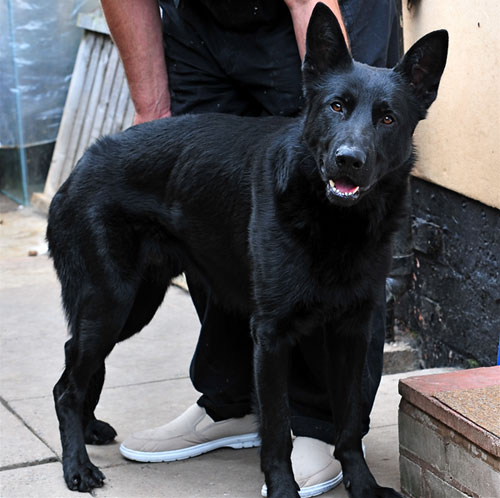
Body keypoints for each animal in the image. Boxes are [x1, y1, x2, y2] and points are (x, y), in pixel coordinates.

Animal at [48, 4, 450, 498]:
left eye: (388, 118)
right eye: (336, 106)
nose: (348, 159)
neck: (332, 223)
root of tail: (81, 164)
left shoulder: (351, 332)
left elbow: (348, 423)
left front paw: (362, 485)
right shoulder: (272, 336)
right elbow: (276, 429)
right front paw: (283, 490)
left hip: (130, 306)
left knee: (74, 361)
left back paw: (87, 430)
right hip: (111, 303)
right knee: (67, 385)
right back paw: (76, 466)